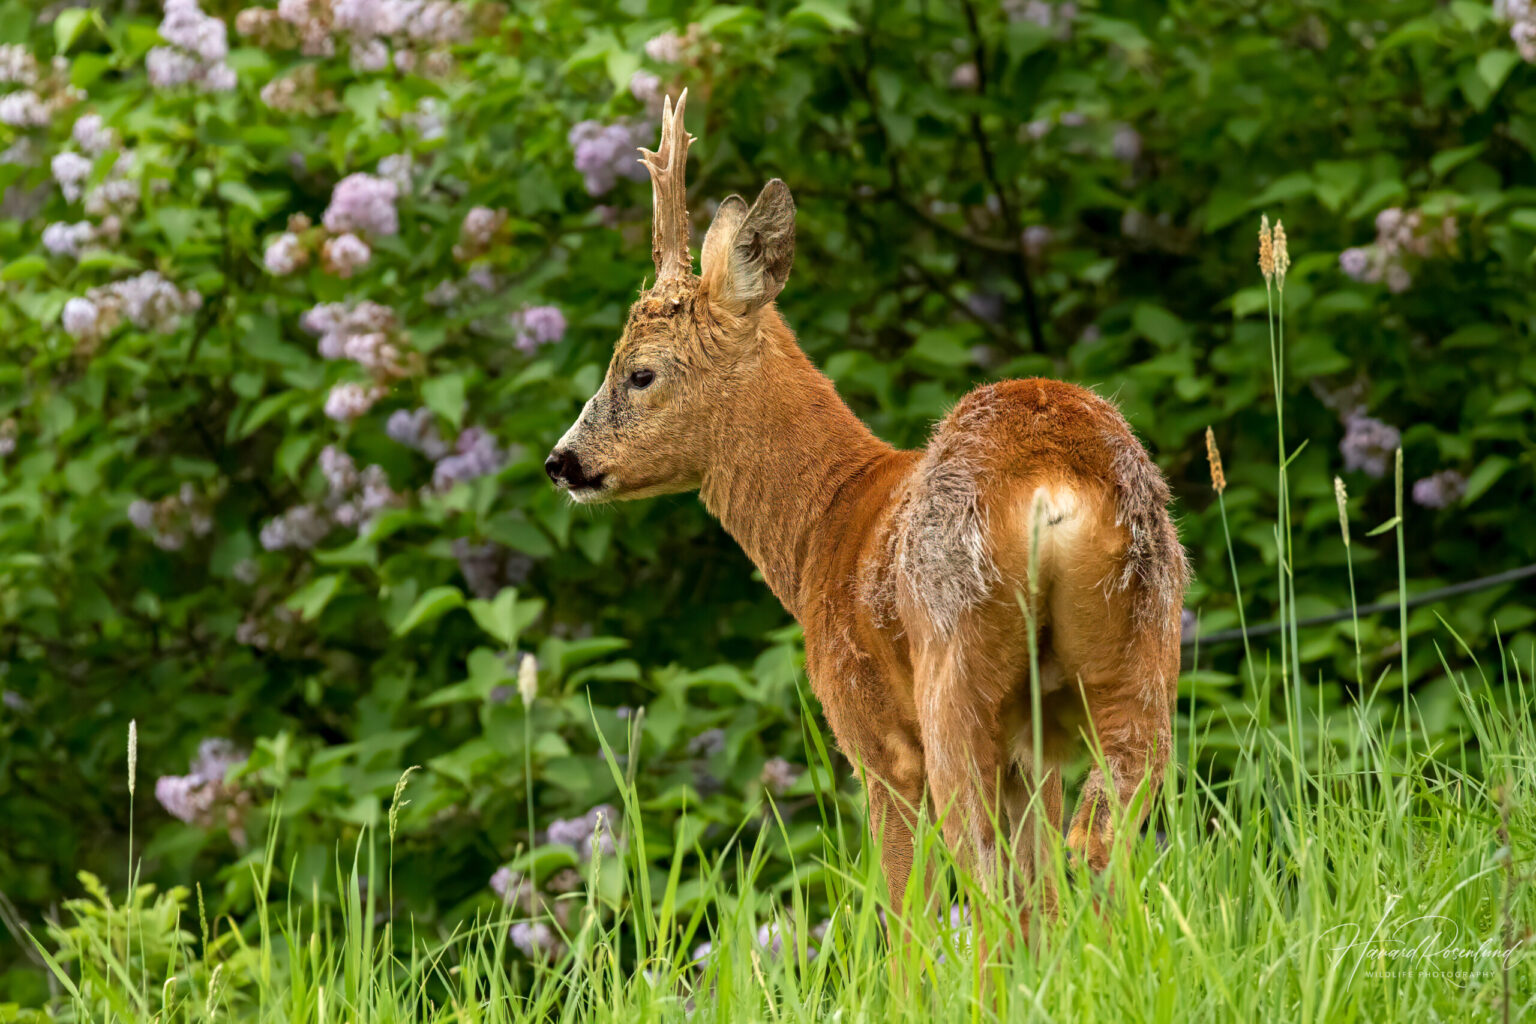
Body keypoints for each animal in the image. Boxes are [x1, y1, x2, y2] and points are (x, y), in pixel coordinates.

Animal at [544, 91, 1188, 938]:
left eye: (639, 372)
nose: (562, 461)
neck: (828, 520)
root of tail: (1056, 486)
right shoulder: (1034, 747)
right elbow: (1038, 893)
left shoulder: (872, 736)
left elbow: (904, 917)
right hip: (1143, 645)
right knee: (1098, 841)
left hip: (954, 666)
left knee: (982, 871)